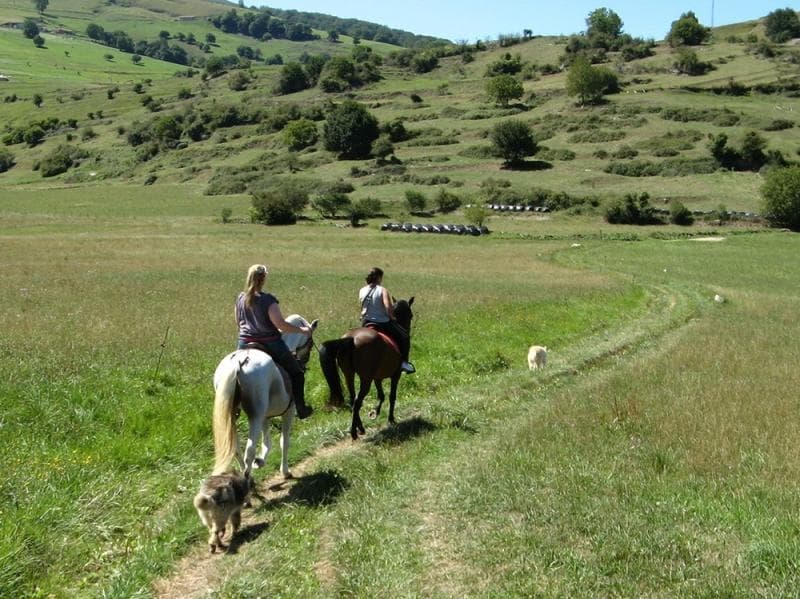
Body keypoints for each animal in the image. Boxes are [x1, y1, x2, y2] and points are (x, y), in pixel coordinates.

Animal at [212, 316, 318, 480]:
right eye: (311, 342)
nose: (304, 361)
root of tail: (238, 362)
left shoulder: (265, 417)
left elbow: (267, 443)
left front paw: (260, 461)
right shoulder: (288, 412)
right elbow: (284, 441)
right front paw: (285, 471)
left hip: (235, 415)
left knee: (235, 448)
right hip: (255, 416)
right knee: (249, 451)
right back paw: (247, 479)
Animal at [318, 298, 416, 440]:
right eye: (410, 315)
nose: (407, 329)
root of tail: (352, 338)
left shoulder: (377, 377)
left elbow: (381, 395)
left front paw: (375, 412)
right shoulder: (395, 375)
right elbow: (392, 396)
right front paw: (391, 419)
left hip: (349, 374)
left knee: (353, 400)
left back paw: (360, 428)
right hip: (365, 379)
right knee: (358, 401)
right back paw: (354, 432)